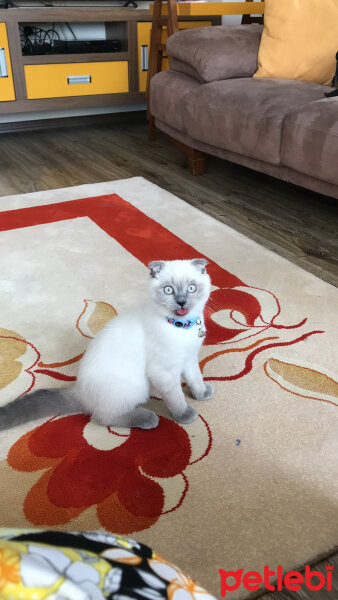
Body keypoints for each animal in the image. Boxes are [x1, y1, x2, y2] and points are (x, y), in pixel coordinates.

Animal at [0, 258, 214, 432]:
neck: (182, 328)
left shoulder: (189, 358)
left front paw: (202, 393)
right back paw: (147, 418)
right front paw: (185, 415)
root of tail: (79, 390)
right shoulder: (164, 371)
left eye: (191, 288)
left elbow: (196, 378)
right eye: (168, 289)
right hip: (135, 388)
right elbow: (176, 397)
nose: (181, 302)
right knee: (103, 417)